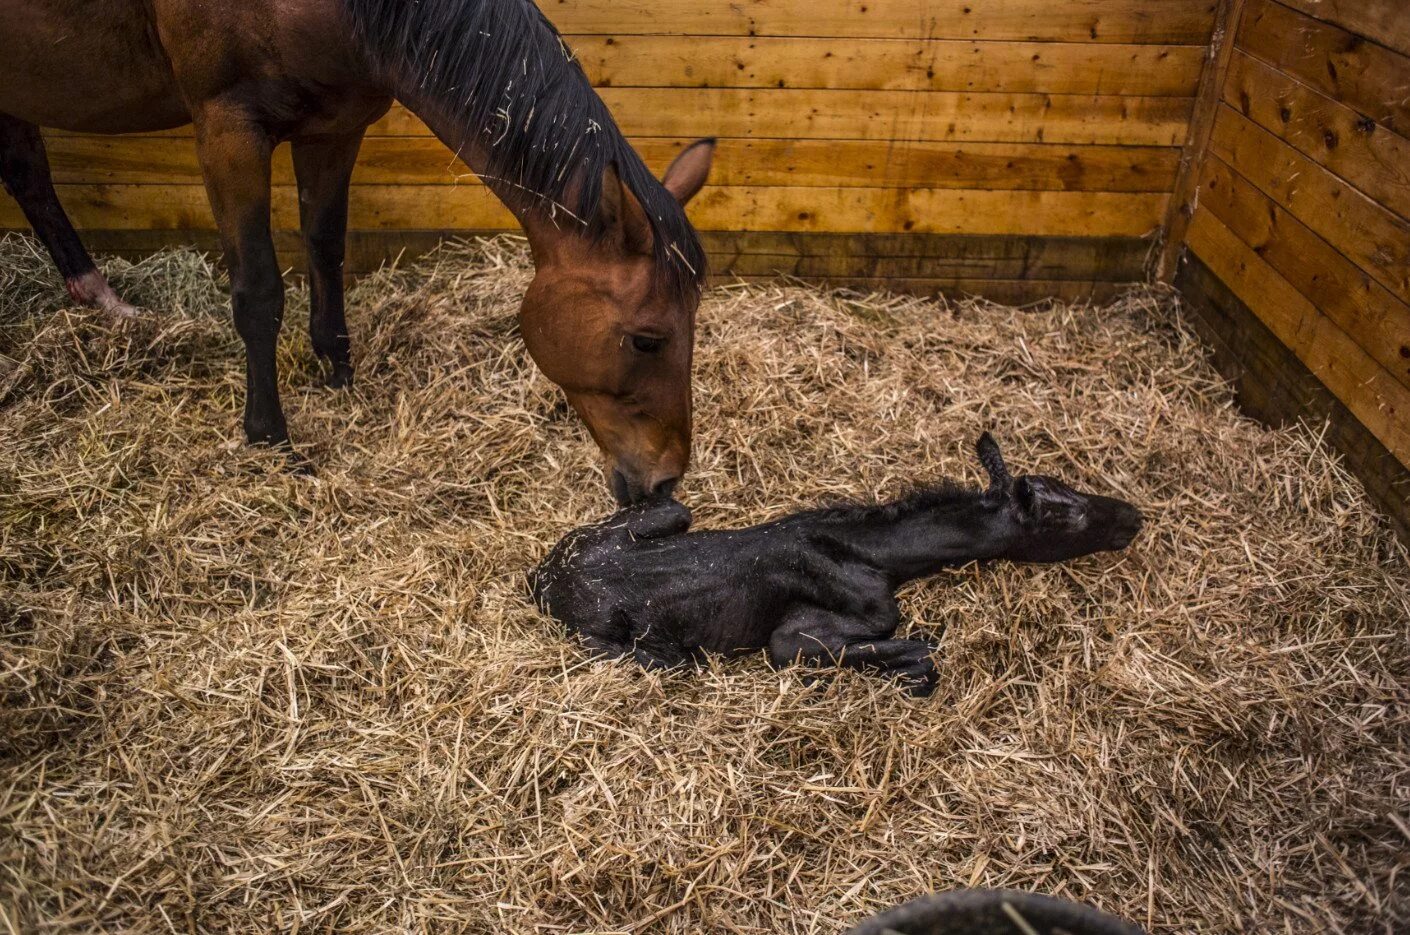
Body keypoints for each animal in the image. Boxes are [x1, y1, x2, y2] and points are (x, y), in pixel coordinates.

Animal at [530, 434, 1144, 693]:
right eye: (1064, 517)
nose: (1134, 516)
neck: (878, 555)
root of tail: (543, 578)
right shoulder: (792, 640)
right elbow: (922, 653)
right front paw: (909, 675)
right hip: (648, 649)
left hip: (670, 512)